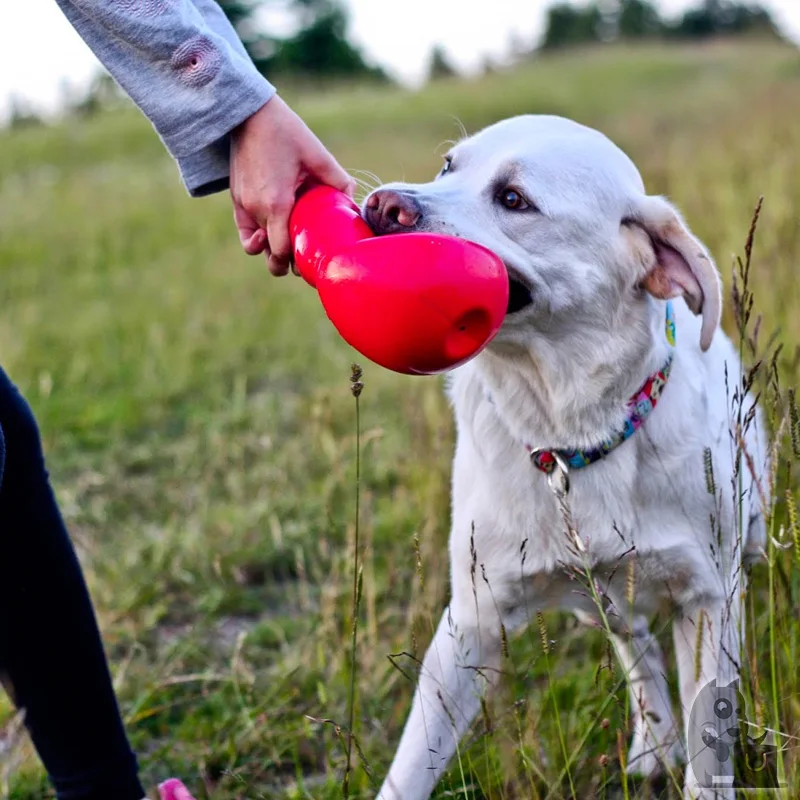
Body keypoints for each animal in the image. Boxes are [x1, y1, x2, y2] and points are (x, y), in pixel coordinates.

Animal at [360, 114, 768, 800]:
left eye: (514, 199)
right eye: (447, 166)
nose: (380, 205)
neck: (571, 433)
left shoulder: (708, 601)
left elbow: (709, 750)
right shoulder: (471, 621)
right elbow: (412, 764)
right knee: (637, 650)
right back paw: (652, 743)